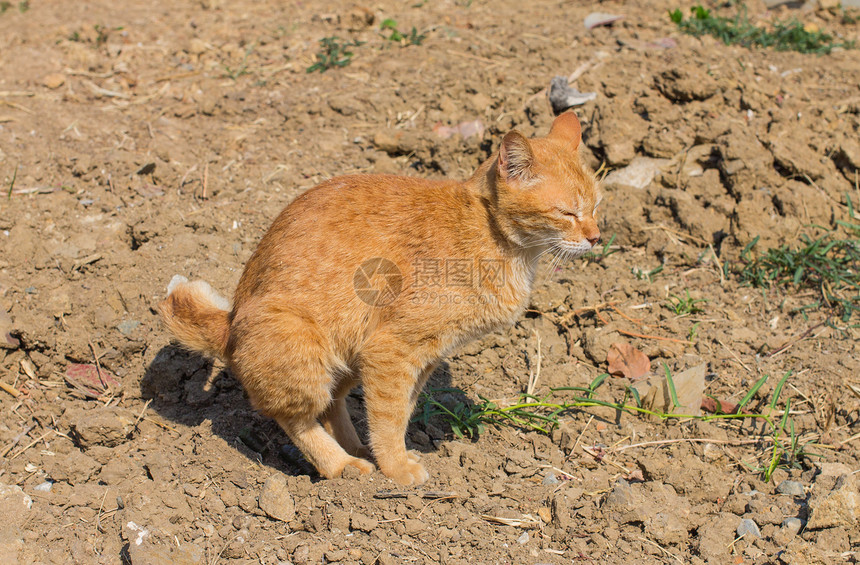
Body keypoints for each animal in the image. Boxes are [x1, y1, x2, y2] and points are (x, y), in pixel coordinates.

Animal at [163, 111, 604, 484]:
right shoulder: (393, 350)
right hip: (303, 349)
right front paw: (395, 469)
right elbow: (389, 417)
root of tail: (230, 322)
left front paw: (392, 456)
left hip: (346, 354)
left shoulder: (420, 356)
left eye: (597, 205)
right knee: (293, 417)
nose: (597, 238)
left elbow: (400, 411)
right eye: (567, 212)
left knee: (331, 405)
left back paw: (356, 448)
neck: (489, 233)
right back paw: (341, 466)